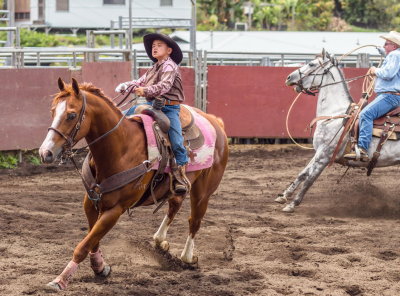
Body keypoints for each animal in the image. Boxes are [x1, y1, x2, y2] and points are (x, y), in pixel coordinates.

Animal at [39, 77, 230, 290]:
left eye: (71, 115)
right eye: (53, 111)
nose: (45, 153)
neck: (121, 147)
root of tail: (215, 122)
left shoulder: (115, 210)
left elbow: (84, 245)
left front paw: (60, 280)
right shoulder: (90, 202)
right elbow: (92, 240)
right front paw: (100, 267)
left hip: (204, 191)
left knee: (194, 220)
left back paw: (187, 257)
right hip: (177, 186)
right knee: (174, 205)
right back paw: (160, 241)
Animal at [274, 50, 400, 213]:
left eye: (312, 64)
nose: (289, 77)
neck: (334, 115)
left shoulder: (325, 155)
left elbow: (310, 179)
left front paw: (292, 204)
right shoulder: (319, 152)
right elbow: (303, 173)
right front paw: (284, 195)